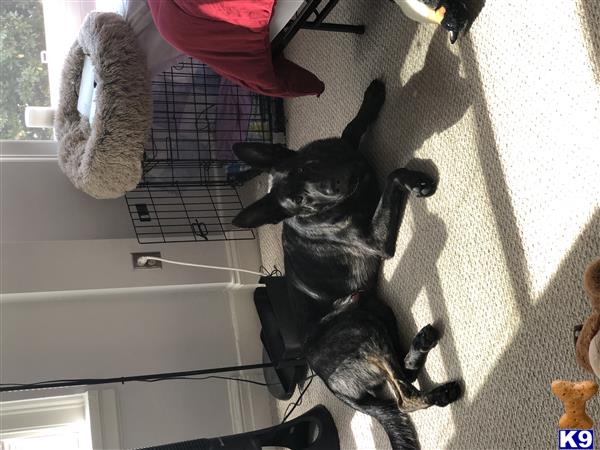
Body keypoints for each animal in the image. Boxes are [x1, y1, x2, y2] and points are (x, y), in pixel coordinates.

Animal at [232, 81, 462, 450]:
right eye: (300, 201)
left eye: (307, 167)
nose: (336, 185)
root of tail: (329, 383)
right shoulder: (376, 240)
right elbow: (393, 175)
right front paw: (415, 179)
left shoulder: (345, 148)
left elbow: (350, 128)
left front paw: (373, 98)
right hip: (361, 327)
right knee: (403, 397)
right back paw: (440, 393)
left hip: (376, 310)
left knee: (404, 373)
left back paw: (422, 344)